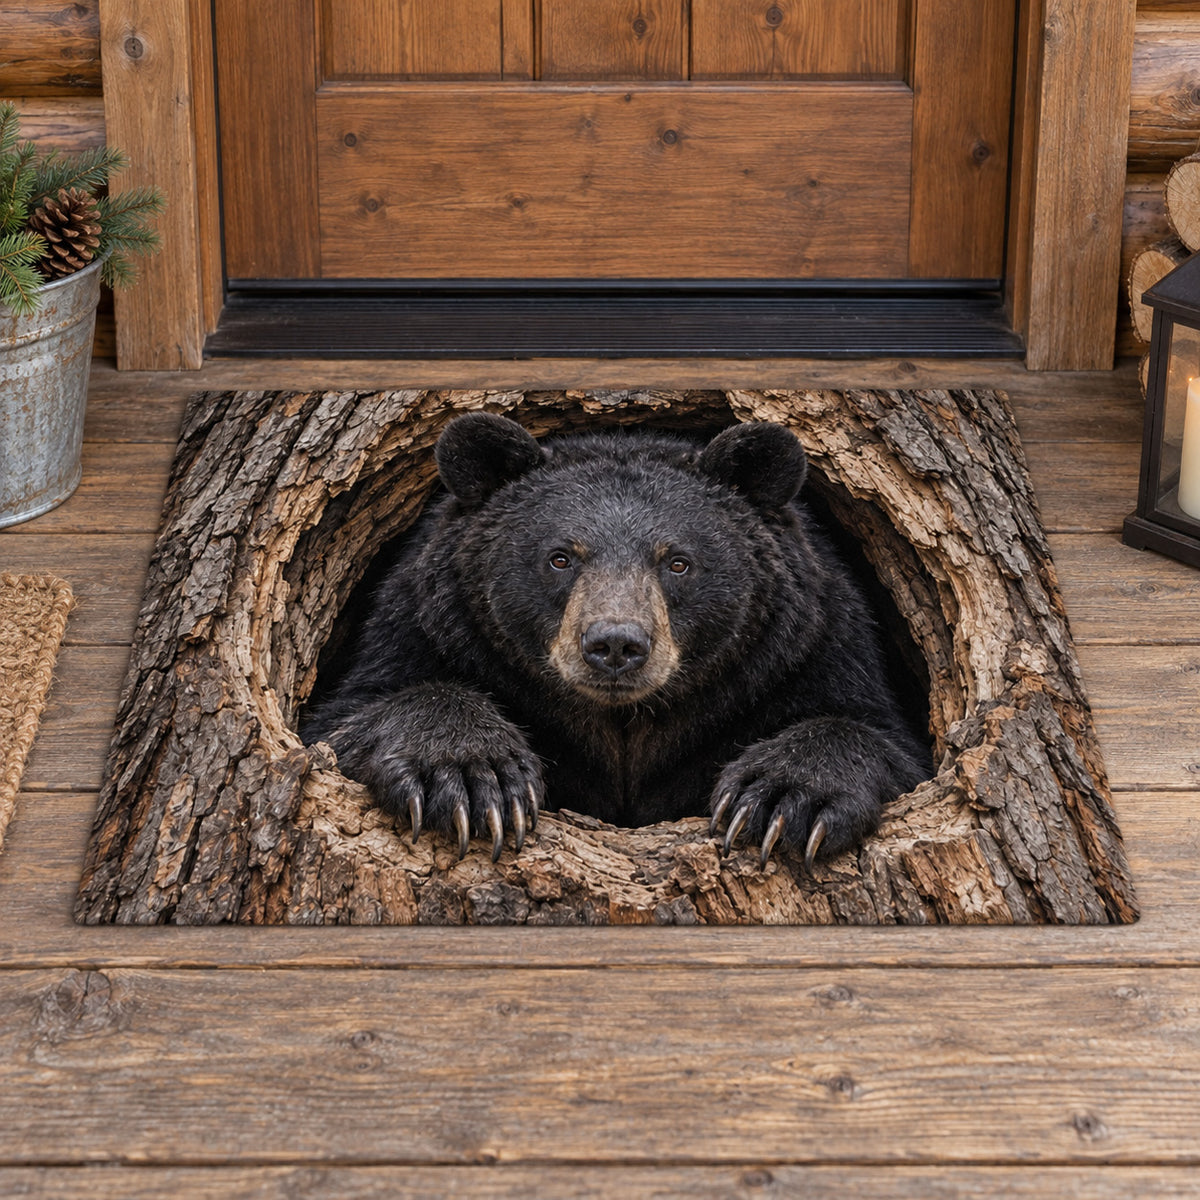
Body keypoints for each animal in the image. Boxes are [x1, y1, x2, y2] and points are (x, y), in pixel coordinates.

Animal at [302, 412, 930, 868]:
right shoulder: (419, 629)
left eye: (677, 561)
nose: (615, 644)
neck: (623, 727)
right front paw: (471, 777)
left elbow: (880, 739)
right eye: (560, 557)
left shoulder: (812, 650)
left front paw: (785, 800)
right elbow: (353, 714)